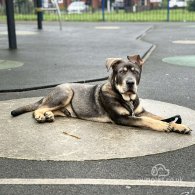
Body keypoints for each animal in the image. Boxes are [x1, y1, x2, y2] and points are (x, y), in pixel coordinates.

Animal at [11, 54, 192, 134]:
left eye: (135, 71)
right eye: (122, 71)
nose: (130, 83)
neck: (126, 98)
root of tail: (52, 90)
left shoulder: (140, 111)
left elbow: (160, 116)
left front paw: (179, 125)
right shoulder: (122, 118)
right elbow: (148, 120)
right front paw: (165, 126)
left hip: (64, 106)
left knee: (49, 108)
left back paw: (48, 114)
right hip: (65, 93)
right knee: (38, 108)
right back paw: (41, 115)